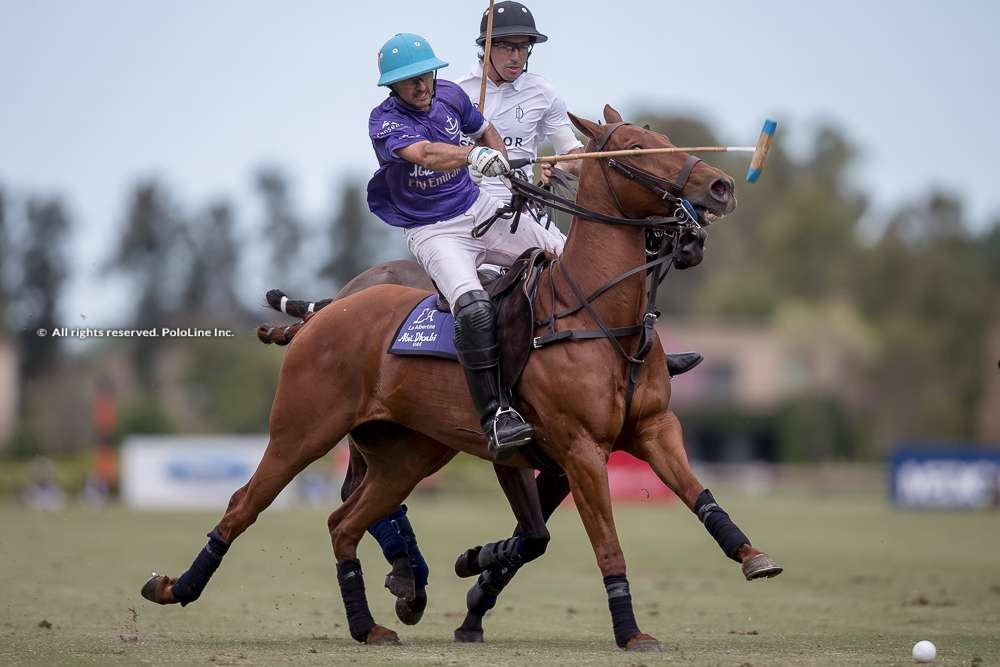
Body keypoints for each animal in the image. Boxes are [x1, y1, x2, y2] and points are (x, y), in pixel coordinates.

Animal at [143, 108, 780, 652]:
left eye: (667, 138)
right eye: (634, 149)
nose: (721, 187)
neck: (600, 316)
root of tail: (325, 312)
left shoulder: (652, 430)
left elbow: (699, 495)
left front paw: (753, 556)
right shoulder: (578, 448)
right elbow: (604, 543)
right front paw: (629, 631)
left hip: (406, 454)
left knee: (344, 521)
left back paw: (371, 622)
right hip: (301, 431)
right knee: (245, 504)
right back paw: (177, 588)